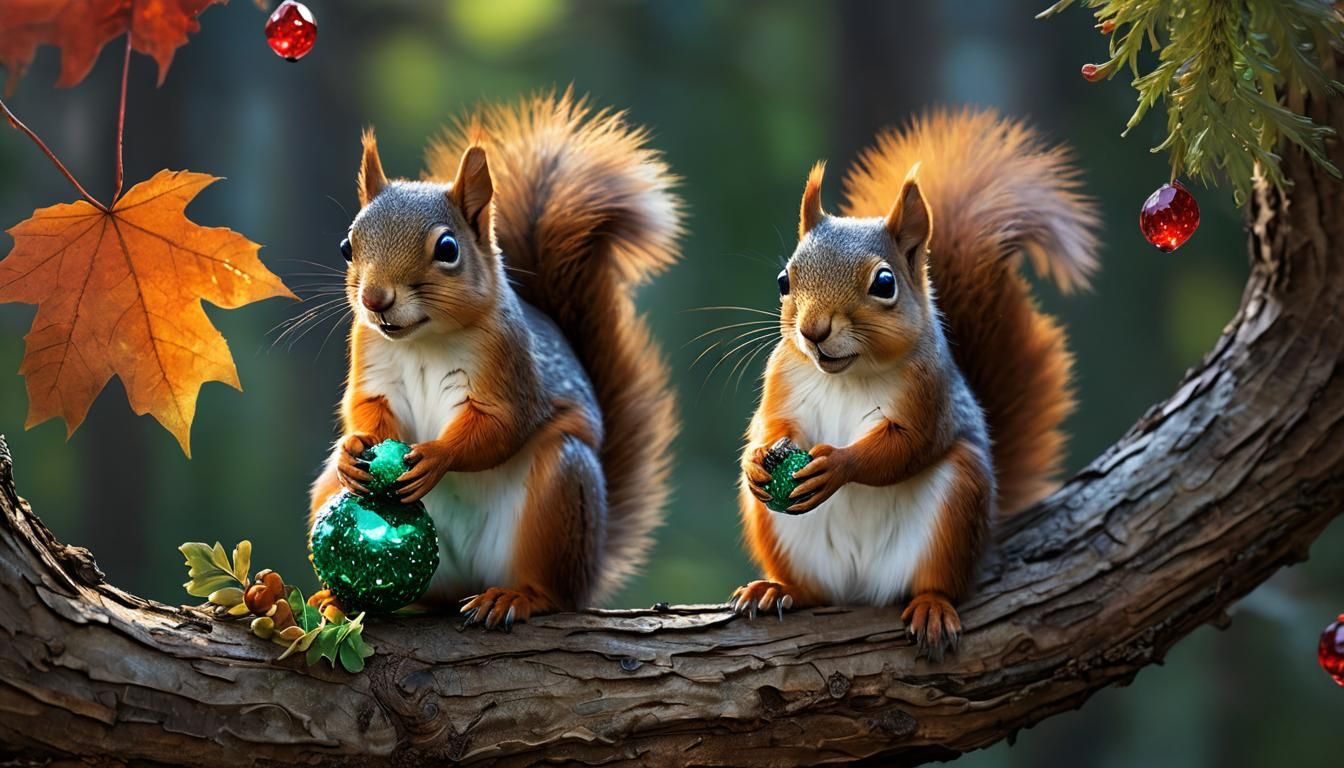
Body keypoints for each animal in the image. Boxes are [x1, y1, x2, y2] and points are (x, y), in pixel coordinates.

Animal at [308, 91, 682, 629]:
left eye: (447, 248)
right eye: (346, 246)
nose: (376, 300)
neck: (424, 340)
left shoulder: (509, 366)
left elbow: (501, 427)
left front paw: (438, 457)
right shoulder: (371, 358)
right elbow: (365, 407)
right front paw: (353, 446)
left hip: (561, 491)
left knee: (554, 588)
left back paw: (517, 598)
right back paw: (343, 599)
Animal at [733, 109, 1099, 658]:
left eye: (885, 284)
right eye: (784, 281)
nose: (813, 331)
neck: (849, 374)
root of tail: (862, 586)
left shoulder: (930, 394)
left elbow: (908, 447)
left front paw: (838, 465)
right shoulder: (784, 378)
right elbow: (773, 422)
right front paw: (758, 458)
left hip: (958, 503)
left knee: (939, 581)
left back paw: (932, 607)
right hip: (781, 535)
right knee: (814, 590)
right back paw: (778, 589)